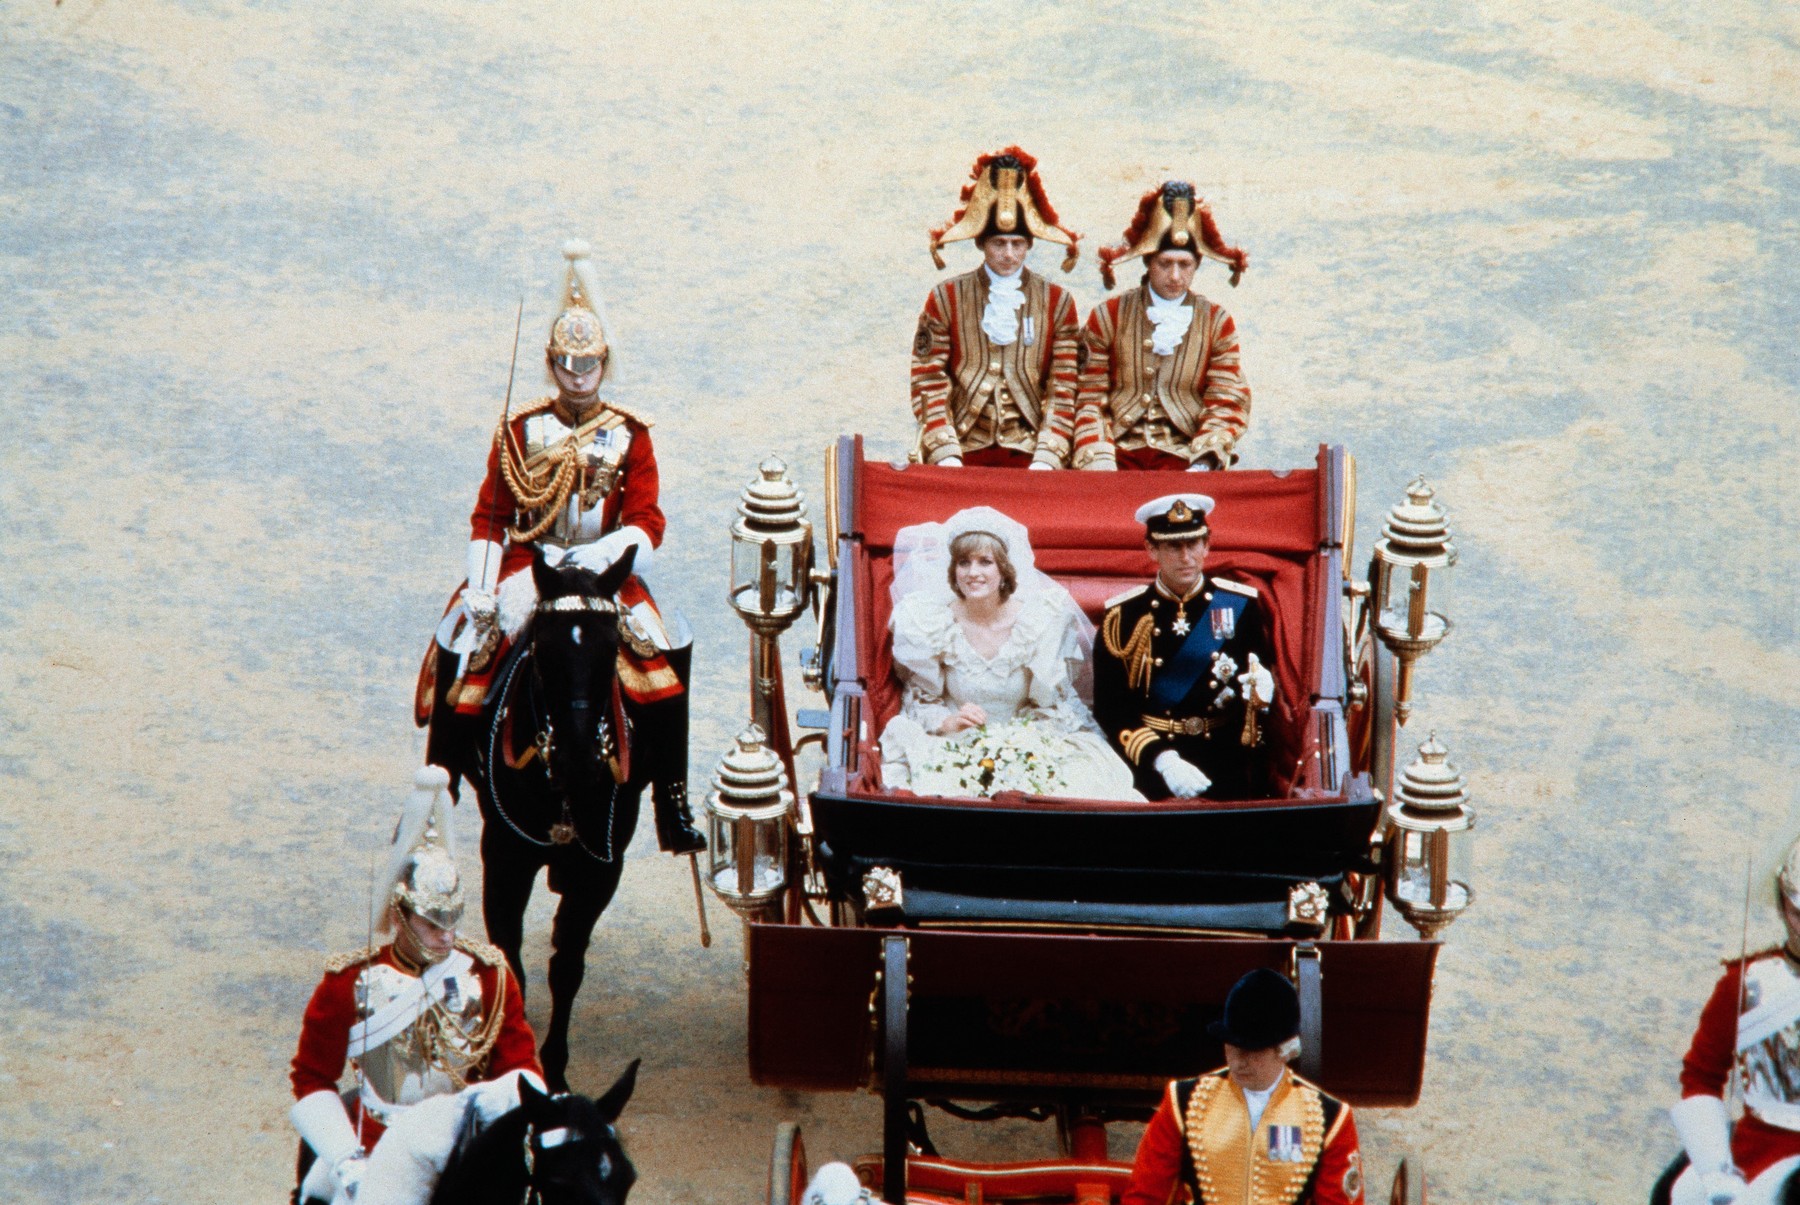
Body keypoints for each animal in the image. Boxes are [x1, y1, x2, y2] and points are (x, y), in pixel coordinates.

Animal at [425, 545, 690, 1091]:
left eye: (611, 651)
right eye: (543, 652)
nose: (579, 761)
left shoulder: (602, 867)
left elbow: (566, 965)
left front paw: (556, 1067)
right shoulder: (504, 856)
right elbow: (510, 959)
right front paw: (500, 1059)